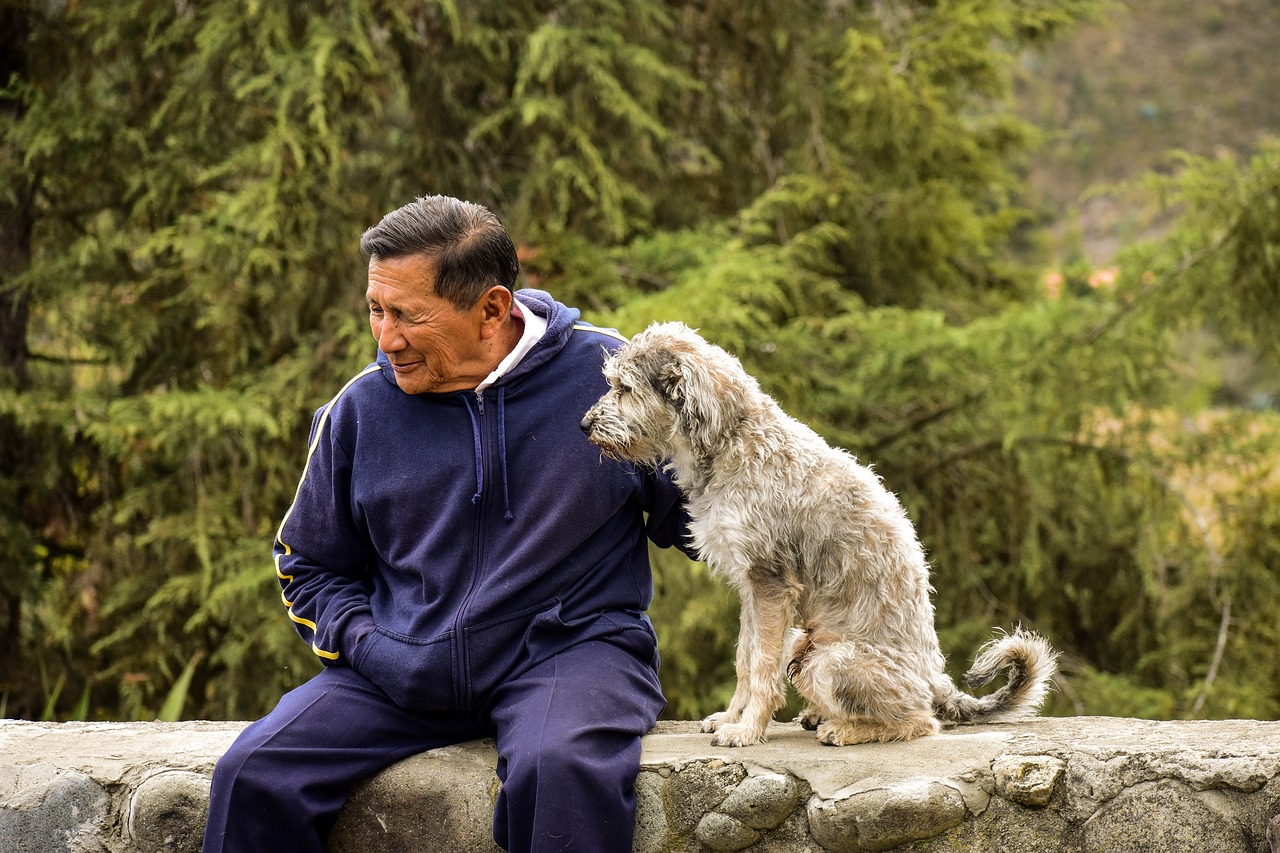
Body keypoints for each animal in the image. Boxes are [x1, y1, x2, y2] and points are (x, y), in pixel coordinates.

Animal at [583, 320, 1059, 742]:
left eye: (624, 388)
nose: (585, 425)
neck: (732, 441)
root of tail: (935, 680)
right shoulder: (751, 588)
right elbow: (745, 660)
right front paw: (731, 718)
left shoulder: (769, 582)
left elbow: (762, 669)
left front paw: (747, 732)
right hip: (802, 642)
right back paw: (819, 716)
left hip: (830, 662)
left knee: (921, 721)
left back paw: (843, 730)